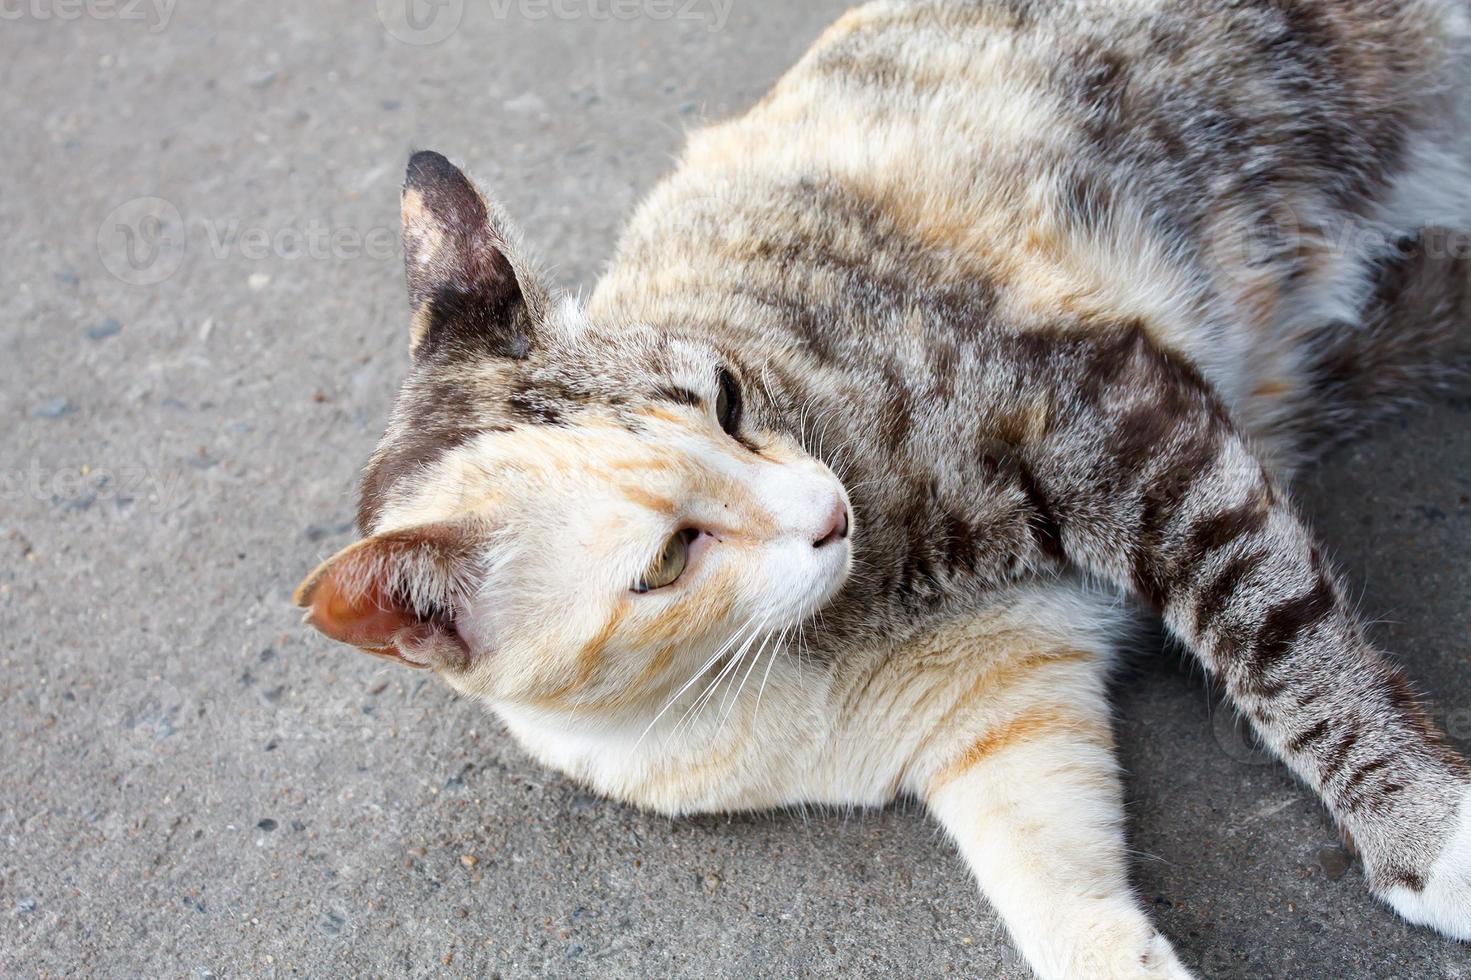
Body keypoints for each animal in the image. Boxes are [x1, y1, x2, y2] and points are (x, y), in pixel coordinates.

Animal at [292, 3, 1465, 971]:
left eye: (727, 398)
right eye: (667, 557)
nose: (830, 515)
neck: (789, 672)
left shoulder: (1103, 418)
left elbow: (1279, 641)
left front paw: (1429, 834)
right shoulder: (1005, 720)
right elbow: (1060, 898)